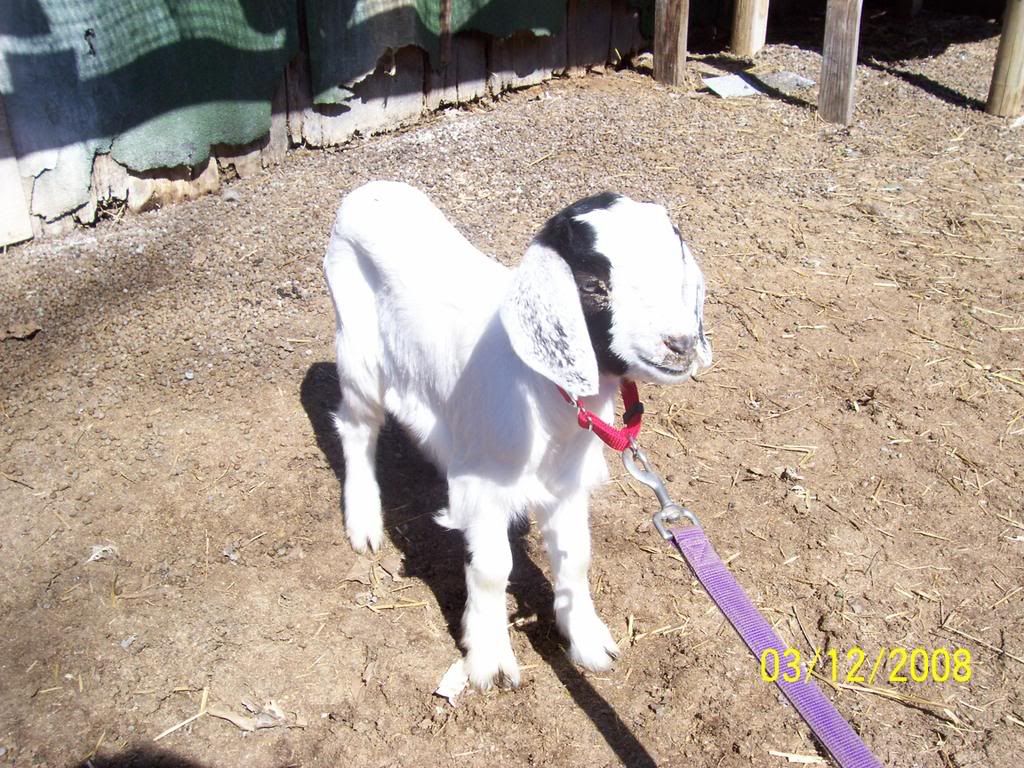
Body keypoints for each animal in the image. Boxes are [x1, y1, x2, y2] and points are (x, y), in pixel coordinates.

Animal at [324, 181, 711, 689]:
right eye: (593, 286)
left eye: (674, 265)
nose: (680, 344)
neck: (545, 395)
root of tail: (368, 191)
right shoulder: (484, 489)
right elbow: (492, 569)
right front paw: (488, 658)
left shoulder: (565, 482)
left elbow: (574, 555)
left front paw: (587, 640)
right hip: (359, 353)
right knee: (355, 427)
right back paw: (364, 522)